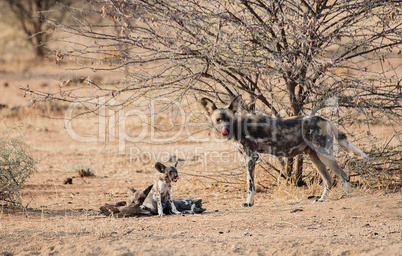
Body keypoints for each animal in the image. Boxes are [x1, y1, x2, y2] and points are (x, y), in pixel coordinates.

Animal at [201, 95, 368, 207]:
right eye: (218, 120)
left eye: (228, 119)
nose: (225, 130)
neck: (238, 126)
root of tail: (326, 120)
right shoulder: (247, 158)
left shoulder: (251, 158)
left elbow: (250, 186)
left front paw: (249, 203)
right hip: (315, 157)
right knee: (329, 180)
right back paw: (322, 199)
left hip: (324, 155)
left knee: (345, 176)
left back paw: (345, 197)